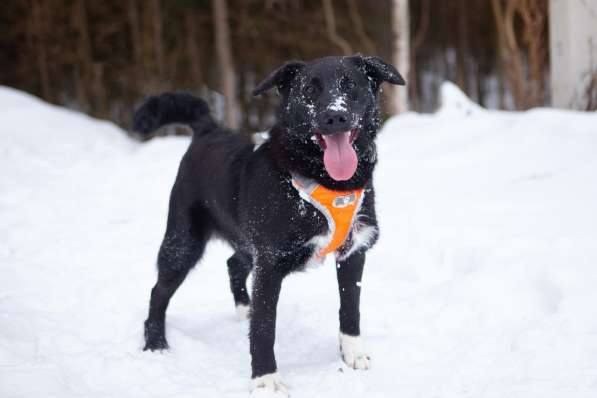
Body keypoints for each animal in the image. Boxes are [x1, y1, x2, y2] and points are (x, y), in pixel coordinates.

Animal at [134, 54, 406, 394]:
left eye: (350, 84)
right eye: (309, 89)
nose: (335, 116)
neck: (325, 180)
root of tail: (208, 130)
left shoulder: (353, 251)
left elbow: (350, 309)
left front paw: (352, 354)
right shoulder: (270, 263)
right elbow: (264, 328)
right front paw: (265, 379)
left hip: (243, 240)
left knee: (233, 264)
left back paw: (243, 309)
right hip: (182, 243)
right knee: (158, 291)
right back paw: (155, 342)